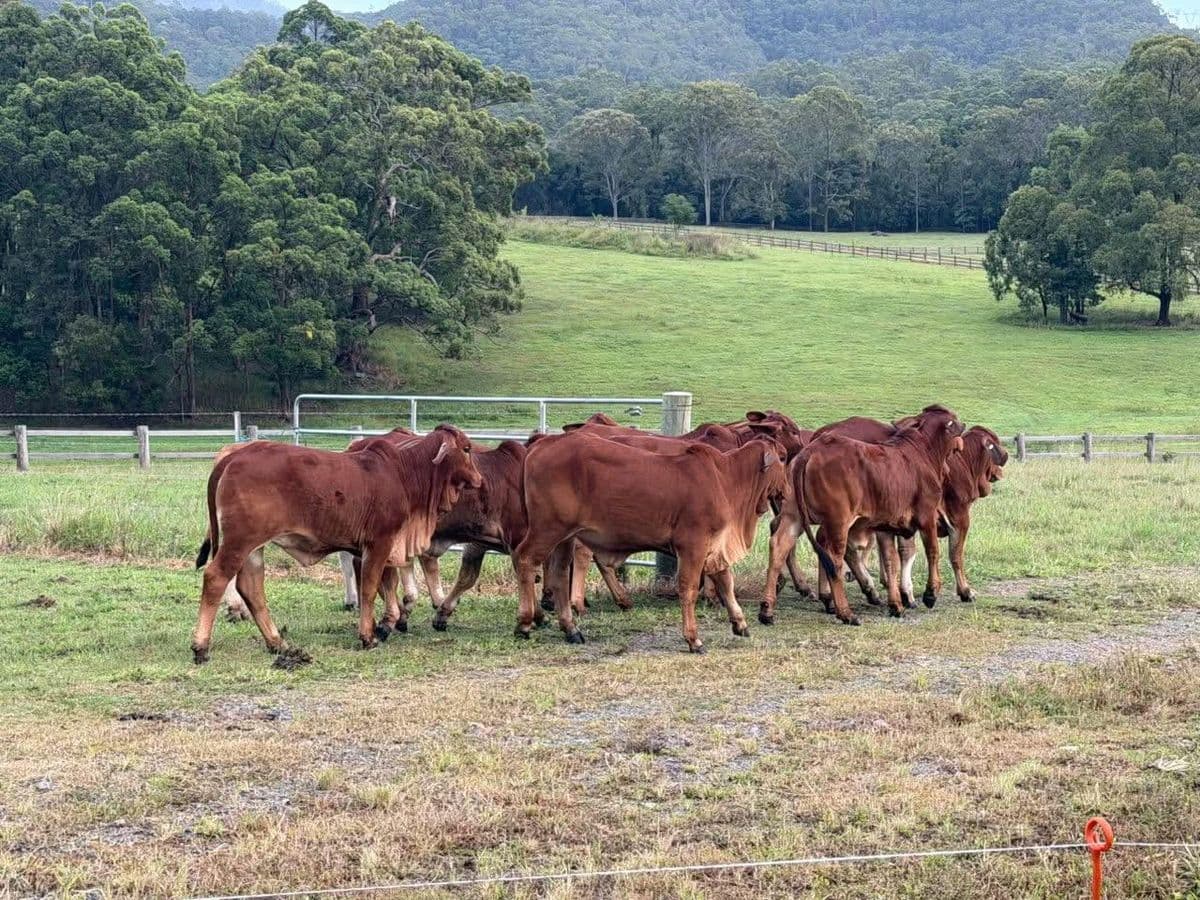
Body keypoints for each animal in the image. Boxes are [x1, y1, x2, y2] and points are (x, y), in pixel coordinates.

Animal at [191, 425, 482, 662]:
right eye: (466, 448)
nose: (479, 479)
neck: (404, 473)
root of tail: (233, 456)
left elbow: (381, 586)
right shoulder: (379, 543)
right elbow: (369, 589)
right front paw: (368, 636)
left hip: (254, 547)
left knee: (251, 588)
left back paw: (277, 643)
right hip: (239, 542)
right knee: (216, 577)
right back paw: (201, 647)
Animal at [513, 433, 786, 653]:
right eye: (783, 457)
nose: (786, 489)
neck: (726, 479)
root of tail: (545, 442)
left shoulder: (715, 547)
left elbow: (726, 583)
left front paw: (740, 623)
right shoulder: (693, 546)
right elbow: (688, 589)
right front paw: (693, 639)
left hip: (565, 537)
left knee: (559, 575)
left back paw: (571, 629)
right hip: (547, 529)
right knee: (523, 559)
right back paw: (525, 622)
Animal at [764, 405, 964, 626]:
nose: (963, 426)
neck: (923, 451)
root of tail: (810, 451)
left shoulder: (886, 526)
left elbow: (890, 562)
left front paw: (896, 605)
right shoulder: (926, 516)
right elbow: (932, 552)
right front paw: (930, 593)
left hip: (794, 516)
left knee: (779, 546)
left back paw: (767, 610)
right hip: (838, 521)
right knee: (833, 559)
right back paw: (845, 612)